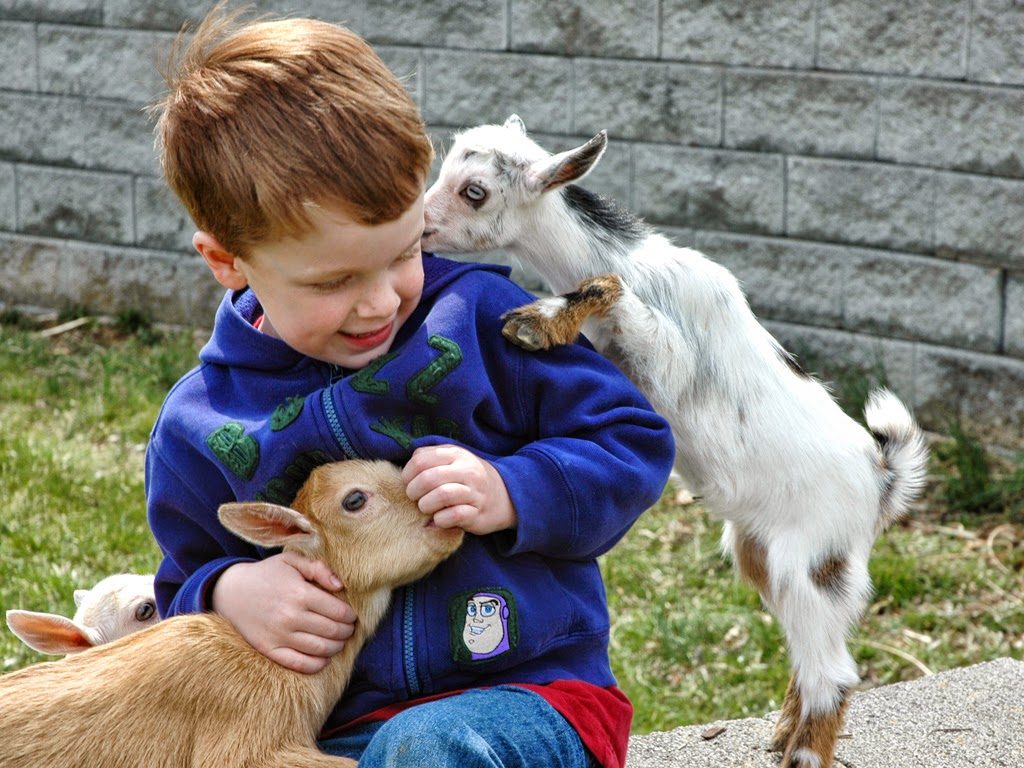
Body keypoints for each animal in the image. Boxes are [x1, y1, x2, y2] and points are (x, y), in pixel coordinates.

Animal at [419, 115, 933, 768]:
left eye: (476, 191)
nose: (421, 226)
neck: (636, 262)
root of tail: (882, 480)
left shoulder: (670, 359)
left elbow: (618, 297)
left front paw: (535, 323)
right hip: (762, 552)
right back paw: (782, 733)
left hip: (813, 562)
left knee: (834, 670)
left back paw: (803, 754)